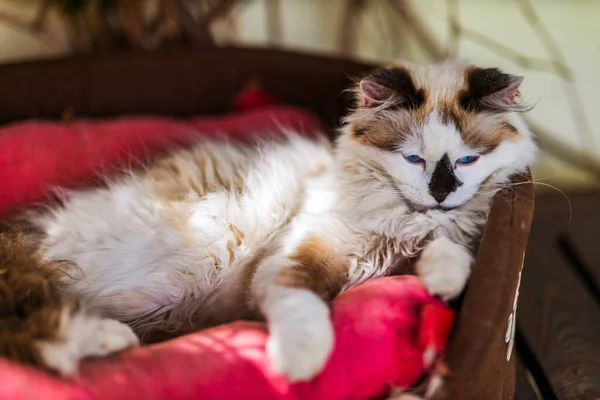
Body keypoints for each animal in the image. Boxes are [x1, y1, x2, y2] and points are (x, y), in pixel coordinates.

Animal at [0, 59, 536, 382]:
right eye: (413, 159)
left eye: (467, 160)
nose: (441, 192)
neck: (404, 223)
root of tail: (25, 239)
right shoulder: (297, 256)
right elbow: (305, 310)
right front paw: (300, 365)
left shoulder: (431, 240)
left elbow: (450, 252)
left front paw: (443, 279)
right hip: (197, 255)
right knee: (41, 328)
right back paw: (110, 342)